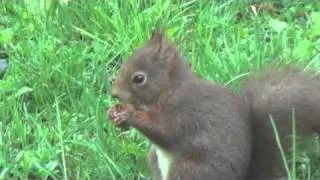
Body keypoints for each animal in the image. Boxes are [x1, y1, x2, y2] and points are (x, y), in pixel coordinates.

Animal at [107, 30, 320, 179]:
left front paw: (129, 113)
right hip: (155, 159)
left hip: (190, 167)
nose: (114, 93)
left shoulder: (181, 113)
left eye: (139, 78)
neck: (170, 90)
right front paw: (114, 113)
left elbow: (163, 130)